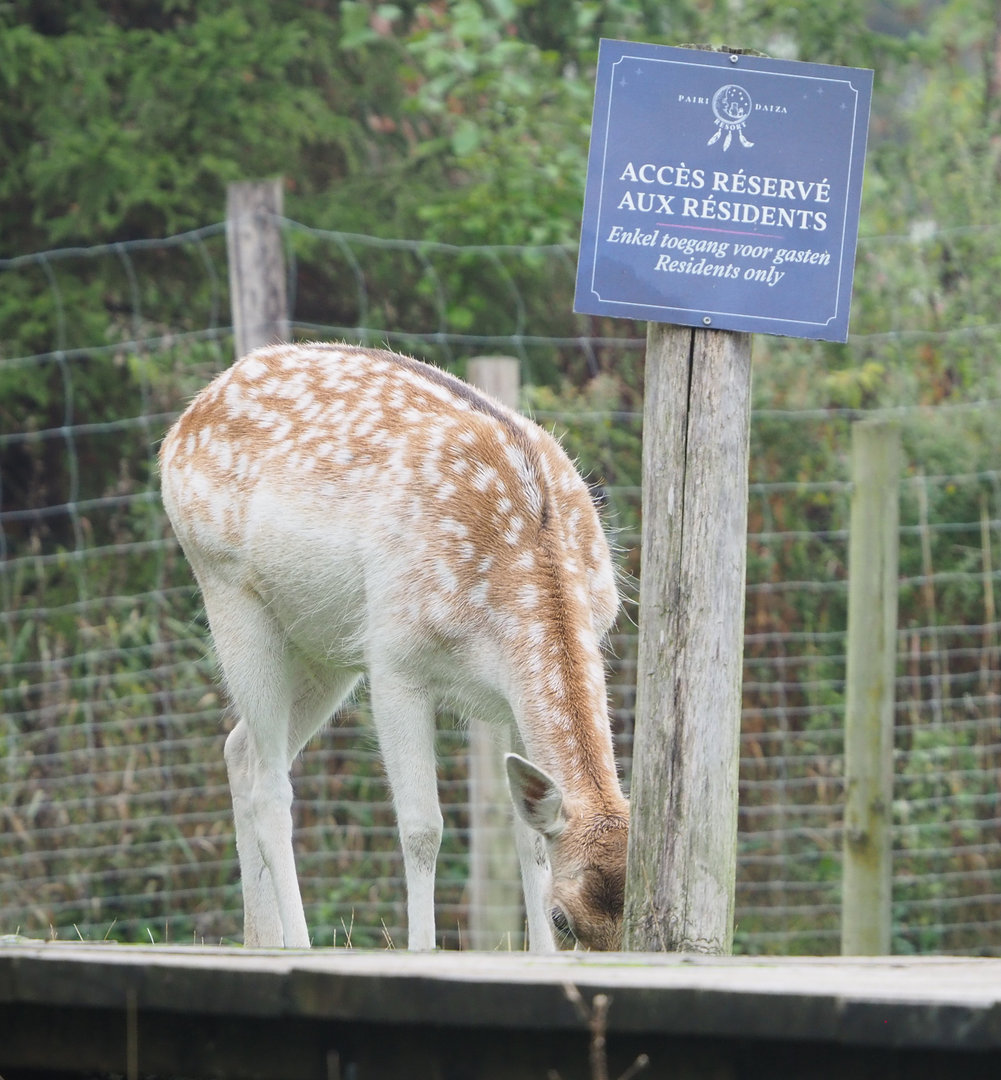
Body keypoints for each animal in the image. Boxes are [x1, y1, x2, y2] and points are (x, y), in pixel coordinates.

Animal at [159, 342, 629, 952]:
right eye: (563, 918)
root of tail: (182, 424)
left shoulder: (509, 697)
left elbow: (528, 838)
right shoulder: (396, 662)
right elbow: (423, 827)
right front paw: (423, 949)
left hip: (324, 645)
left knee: (240, 751)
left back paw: (259, 940)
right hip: (228, 589)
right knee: (270, 787)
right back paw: (297, 944)